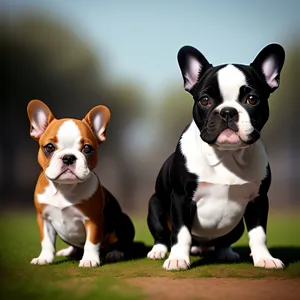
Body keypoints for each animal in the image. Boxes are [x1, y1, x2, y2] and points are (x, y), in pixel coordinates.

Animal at [27, 100, 135, 268]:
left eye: (87, 148)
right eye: (49, 147)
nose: (68, 157)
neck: (64, 188)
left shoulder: (93, 219)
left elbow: (91, 242)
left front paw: (89, 259)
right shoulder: (43, 218)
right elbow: (46, 241)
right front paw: (44, 258)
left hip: (124, 221)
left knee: (122, 242)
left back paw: (115, 253)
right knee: (76, 246)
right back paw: (68, 251)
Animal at [148, 43, 286, 270]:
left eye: (252, 99)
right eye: (205, 100)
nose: (228, 111)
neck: (226, 155)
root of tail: (203, 247)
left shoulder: (258, 200)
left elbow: (259, 234)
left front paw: (264, 258)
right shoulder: (180, 199)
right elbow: (181, 233)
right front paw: (177, 259)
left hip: (236, 226)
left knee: (223, 241)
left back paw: (225, 253)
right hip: (155, 205)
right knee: (162, 233)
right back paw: (159, 251)